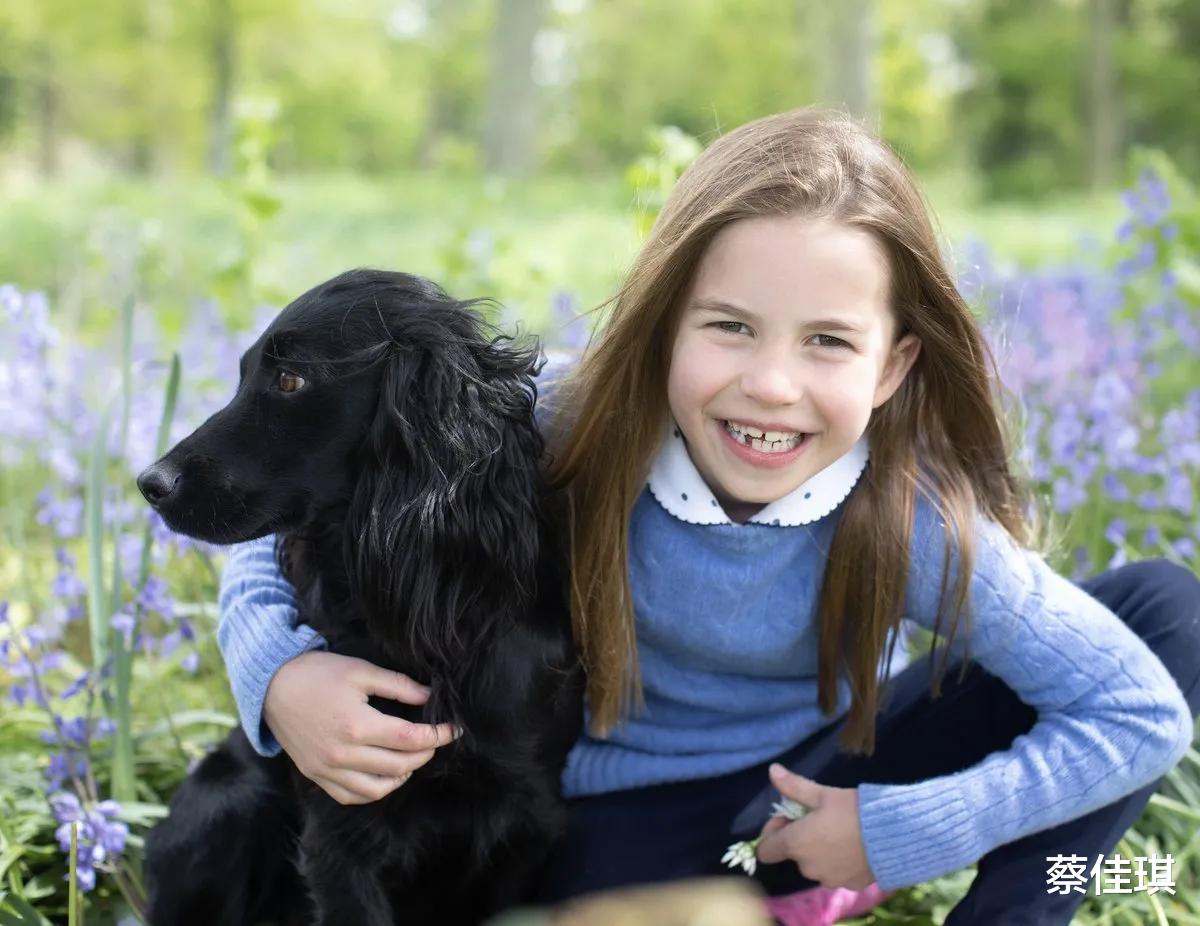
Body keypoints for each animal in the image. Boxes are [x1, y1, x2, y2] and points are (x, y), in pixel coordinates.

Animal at [138, 269, 583, 926]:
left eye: (290, 379)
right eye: (243, 372)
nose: (150, 483)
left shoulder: (530, 820)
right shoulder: (341, 826)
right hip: (227, 799)